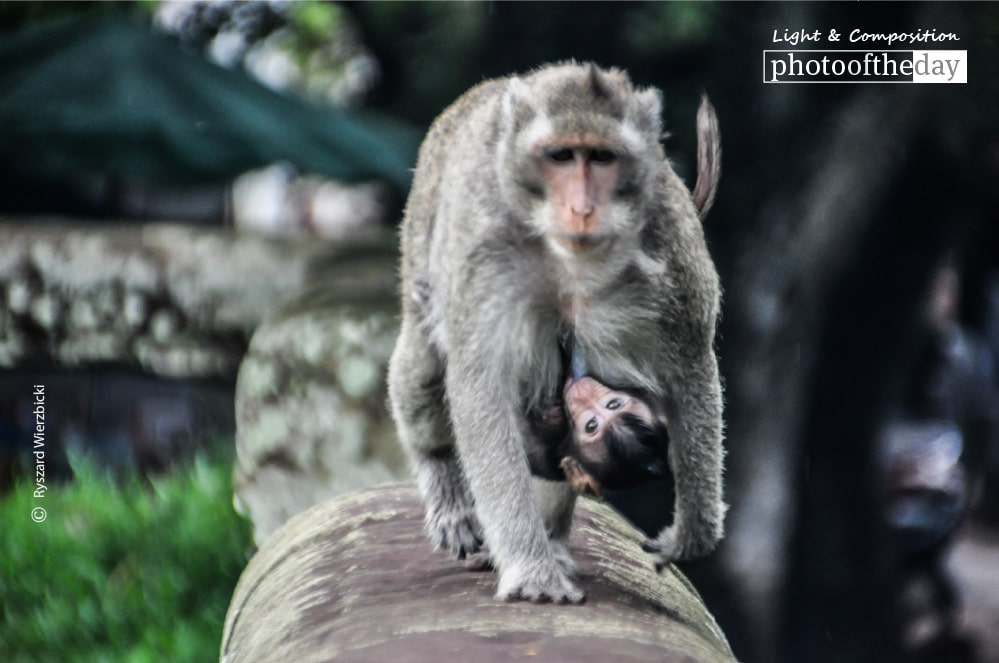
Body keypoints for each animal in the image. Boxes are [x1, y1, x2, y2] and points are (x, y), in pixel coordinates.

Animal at [386, 59, 724, 604]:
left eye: (603, 157)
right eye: (562, 156)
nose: (583, 209)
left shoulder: (670, 247)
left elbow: (691, 368)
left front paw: (692, 531)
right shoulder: (484, 253)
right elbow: (479, 386)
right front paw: (532, 570)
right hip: (421, 232)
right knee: (423, 368)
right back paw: (448, 493)